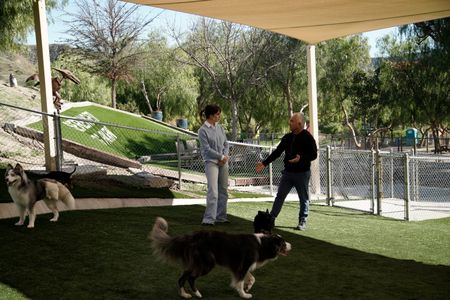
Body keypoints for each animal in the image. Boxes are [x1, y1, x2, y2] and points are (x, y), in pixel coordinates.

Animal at [150, 217, 292, 298]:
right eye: (283, 243)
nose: (291, 245)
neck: (262, 244)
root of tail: (192, 237)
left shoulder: (241, 267)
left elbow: (251, 278)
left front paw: (247, 287)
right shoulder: (243, 266)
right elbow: (240, 281)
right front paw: (244, 294)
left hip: (195, 263)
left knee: (182, 278)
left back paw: (184, 294)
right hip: (207, 263)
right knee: (191, 278)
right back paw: (198, 294)